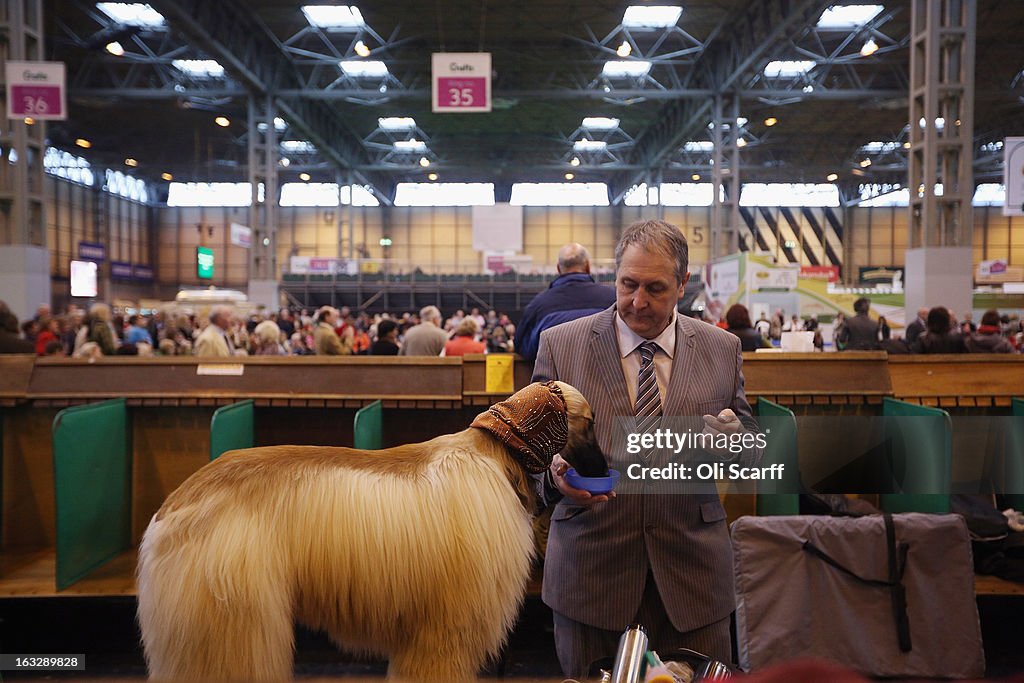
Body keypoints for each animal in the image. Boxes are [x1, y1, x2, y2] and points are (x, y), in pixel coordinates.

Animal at [135, 382, 598, 679]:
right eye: (590, 421)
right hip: (230, 620)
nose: (602, 469)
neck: (494, 454)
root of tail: (171, 509)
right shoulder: (443, 633)